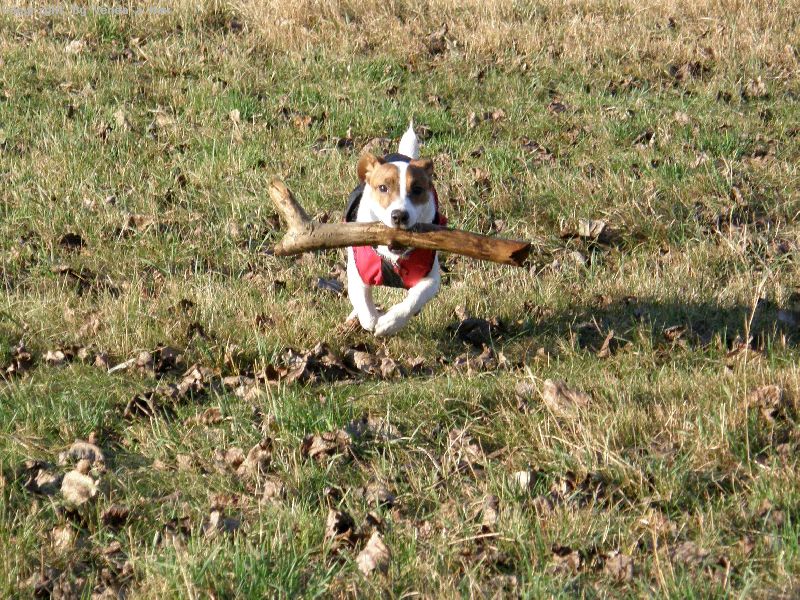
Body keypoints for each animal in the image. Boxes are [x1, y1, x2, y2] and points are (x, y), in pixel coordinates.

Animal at [344, 122, 446, 336]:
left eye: (417, 189)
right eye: (383, 188)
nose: (399, 215)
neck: (393, 258)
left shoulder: (431, 278)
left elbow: (415, 298)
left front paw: (389, 322)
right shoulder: (357, 271)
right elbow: (363, 302)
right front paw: (371, 320)